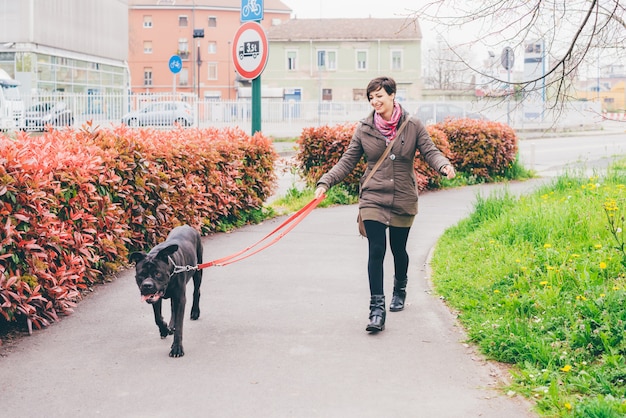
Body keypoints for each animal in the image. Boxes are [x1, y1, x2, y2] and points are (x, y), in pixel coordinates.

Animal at [129, 224, 202, 358]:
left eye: (158, 273)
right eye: (141, 274)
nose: (147, 285)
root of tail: (187, 226)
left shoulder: (180, 298)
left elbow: (179, 325)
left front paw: (177, 348)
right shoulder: (156, 298)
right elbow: (157, 317)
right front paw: (164, 329)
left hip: (198, 269)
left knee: (196, 292)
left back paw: (195, 312)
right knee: (173, 307)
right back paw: (171, 326)